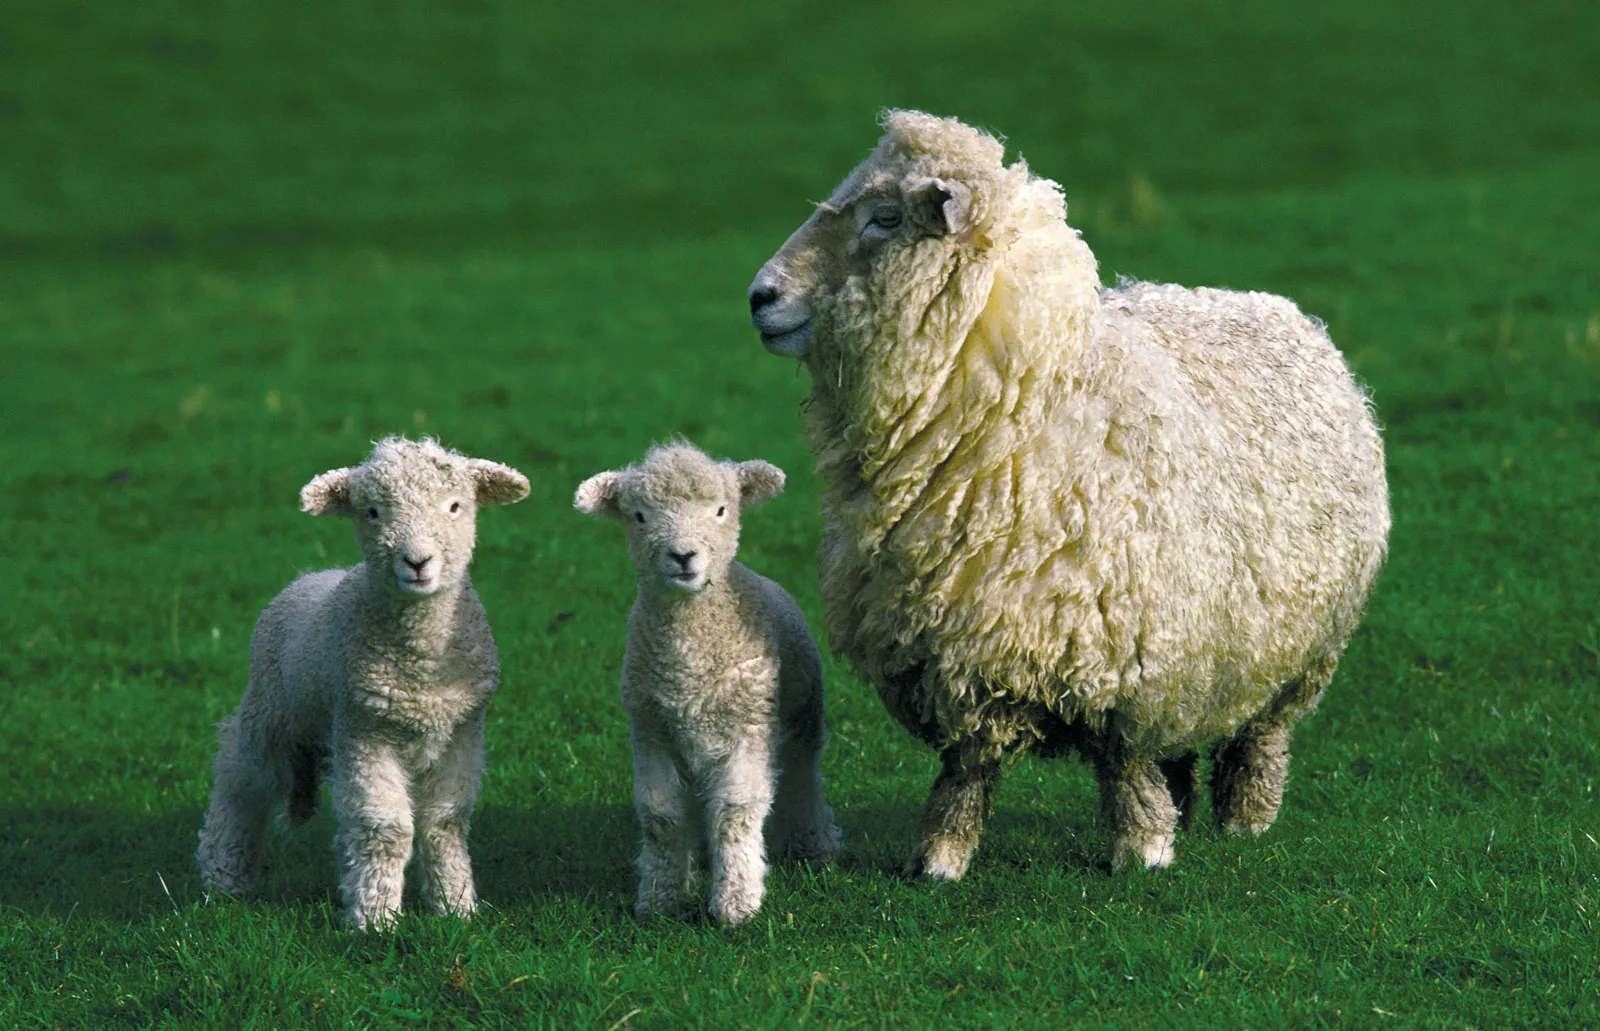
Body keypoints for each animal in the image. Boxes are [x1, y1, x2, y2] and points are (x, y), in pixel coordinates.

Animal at [195, 436, 529, 930]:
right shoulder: (366, 732)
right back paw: (223, 877)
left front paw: (455, 908)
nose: (417, 562)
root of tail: (311, 576)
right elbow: (385, 828)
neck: (421, 661)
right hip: (269, 713)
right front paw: (375, 919)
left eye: (455, 506)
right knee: (241, 784)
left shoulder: (461, 733)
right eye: (372, 512)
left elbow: (444, 822)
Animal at [575, 442, 841, 926]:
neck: (689, 661)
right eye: (639, 516)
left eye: (721, 510)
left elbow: (735, 815)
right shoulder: (652, 731)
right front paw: (659, 900)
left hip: (804, 722)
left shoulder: (747, 729)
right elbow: (661, 818)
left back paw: (815, 849)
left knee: (802, 781)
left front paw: (737, 904)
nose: (683, 556)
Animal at [746, 110, 1389, 878]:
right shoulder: (957, 646)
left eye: (885, 218)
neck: (1023, 408)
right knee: (1181, 751)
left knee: (1258, 741)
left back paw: (1244, 823)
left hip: (1296, 654)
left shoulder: (1135, 660)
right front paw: (940, 858)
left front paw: (1142, 851)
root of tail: (1272, 305)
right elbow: (968, 767)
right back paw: (1186, 813)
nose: (759, 296)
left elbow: (1123, 763)